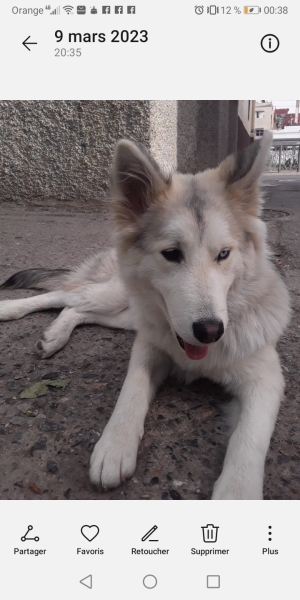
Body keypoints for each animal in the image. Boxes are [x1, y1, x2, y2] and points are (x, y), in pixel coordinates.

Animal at [0, 132, 290, 502]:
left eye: (224, 254)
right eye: (172, 253)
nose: (210, 331)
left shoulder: (265, 380)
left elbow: (248, 438)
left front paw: (237, 492)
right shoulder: (148, 346)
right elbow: (132, 389)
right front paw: (115, 444)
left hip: (124, 315)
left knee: (77, 310)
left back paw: (54, 336)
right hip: (116, 297)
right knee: (63, 296)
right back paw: (11, 311)